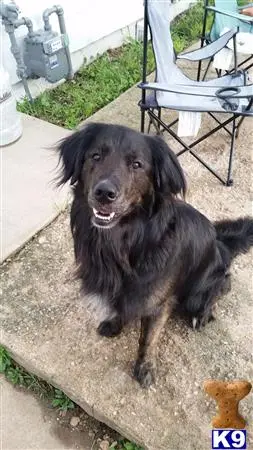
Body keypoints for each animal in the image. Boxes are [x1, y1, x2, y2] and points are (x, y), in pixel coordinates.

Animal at [57, 122, 253, 386]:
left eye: (137, 164)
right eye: (95, 156)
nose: (104, 193)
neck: (124, 243)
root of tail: (220, 241)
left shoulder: (158, 305)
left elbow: (147, 339)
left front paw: (145, 368)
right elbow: (121, 306)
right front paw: (115, 323)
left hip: (201, 291)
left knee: (221, 288)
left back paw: (202, 314)